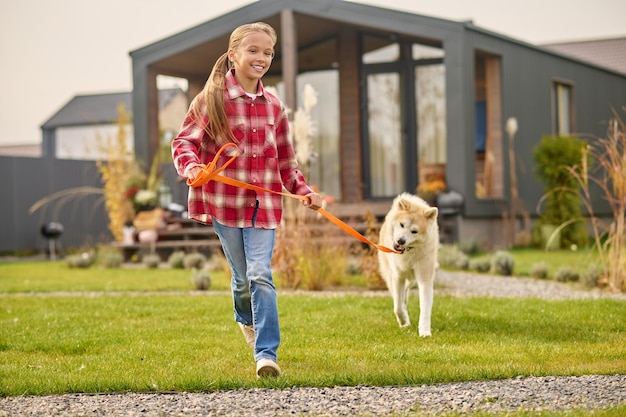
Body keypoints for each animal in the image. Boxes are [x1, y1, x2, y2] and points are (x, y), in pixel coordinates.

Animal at [378, 192, 436, 334]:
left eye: (414, 231)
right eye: (402, 224)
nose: (401, 241)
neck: (408, 252)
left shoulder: (425, 278)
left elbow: (425, 309)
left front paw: (425, 332)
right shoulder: (398, 276)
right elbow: (397, 307)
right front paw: (404, 321)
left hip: (412, 279)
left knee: (406, 291)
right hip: (390, 276)